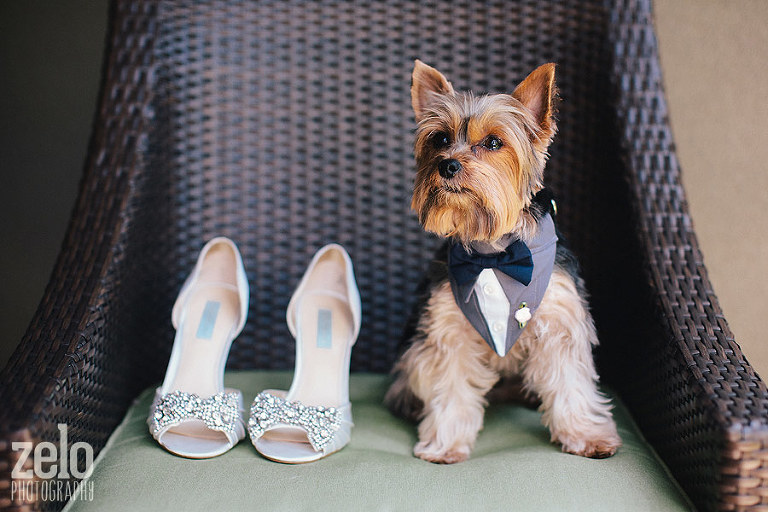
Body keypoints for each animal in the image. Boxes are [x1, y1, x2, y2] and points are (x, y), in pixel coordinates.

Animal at [388, 61, 620, 464]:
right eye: (439, 139)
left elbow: (571, 383)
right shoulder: (449, 328)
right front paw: (445, 444)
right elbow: (451, 388)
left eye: (494, 143)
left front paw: (585, 435)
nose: (447, 165)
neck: (494, 252)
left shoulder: (560, 320)